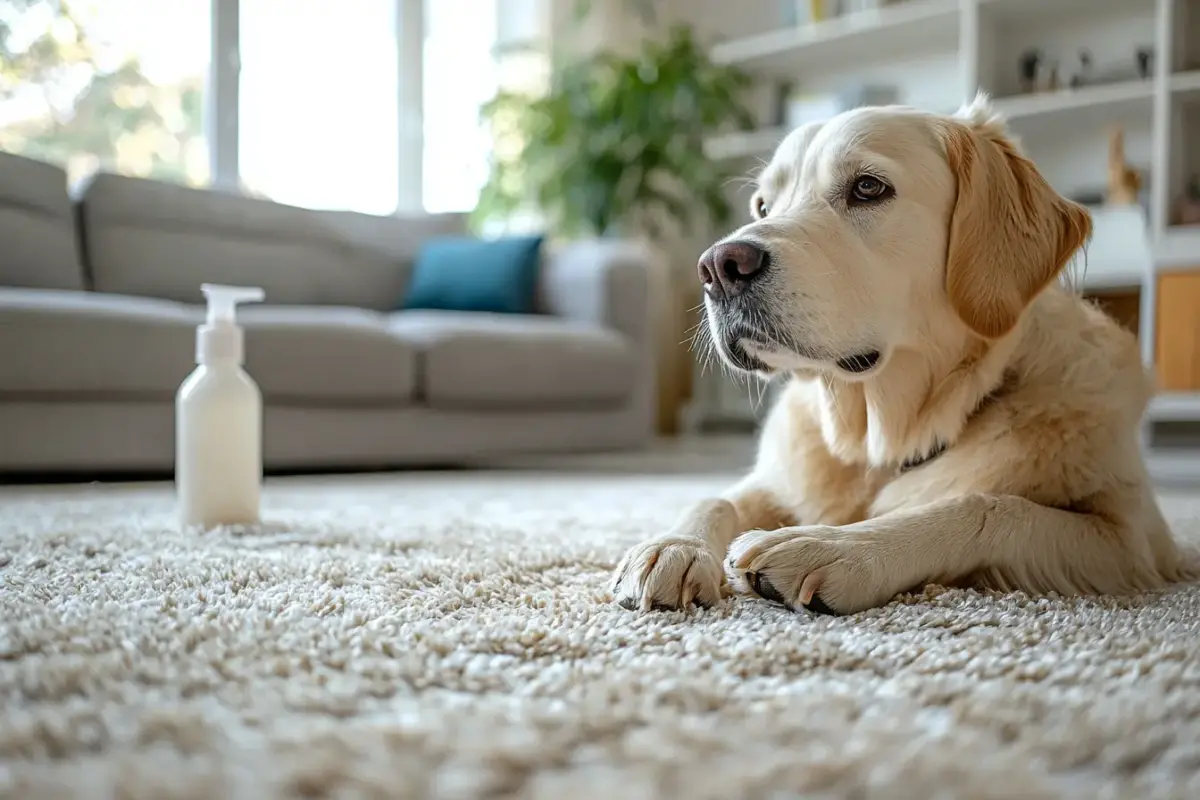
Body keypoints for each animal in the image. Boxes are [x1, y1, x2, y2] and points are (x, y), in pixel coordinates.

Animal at [609, 95, 1190, 618]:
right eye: (763, 207)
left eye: (868, 187)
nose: (718, 267)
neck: (882, 440)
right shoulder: (779, 480)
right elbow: (715, 497)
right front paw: (673, 546)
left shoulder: (1131, 539)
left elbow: (987, 505)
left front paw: (834, 545)